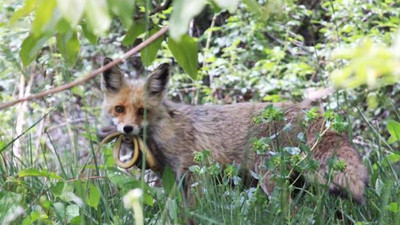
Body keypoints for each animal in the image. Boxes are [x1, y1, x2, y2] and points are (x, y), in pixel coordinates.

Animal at [99, 58, 368, 204]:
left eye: (142, 111)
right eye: (119, 109)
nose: (127, 128)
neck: (165, 132)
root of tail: (305, 110)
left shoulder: (196, 173)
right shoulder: (172, 180)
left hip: (270, 176)